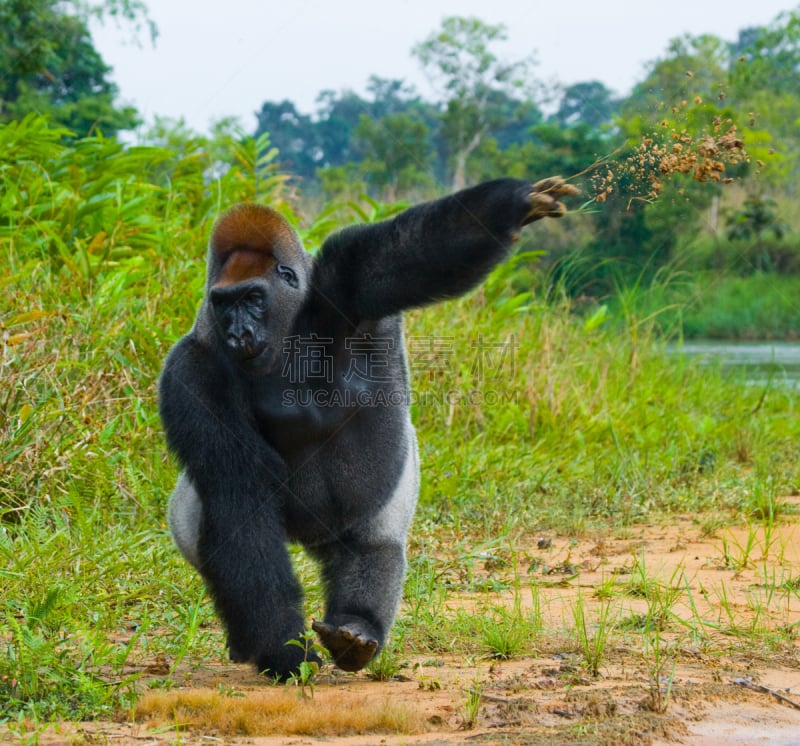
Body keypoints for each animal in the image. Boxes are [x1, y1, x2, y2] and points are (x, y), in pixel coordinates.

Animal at [159, 174, 580, 676]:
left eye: (253, 299)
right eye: (224, 304)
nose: (238, 333)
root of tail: (310, 539)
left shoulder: (343, 281)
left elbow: (411, 254)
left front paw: (512, 206)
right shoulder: (189, 372)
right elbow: (238, 497)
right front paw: (284, 649)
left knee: (374, 546)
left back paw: (358, 627)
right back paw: (252, 643)